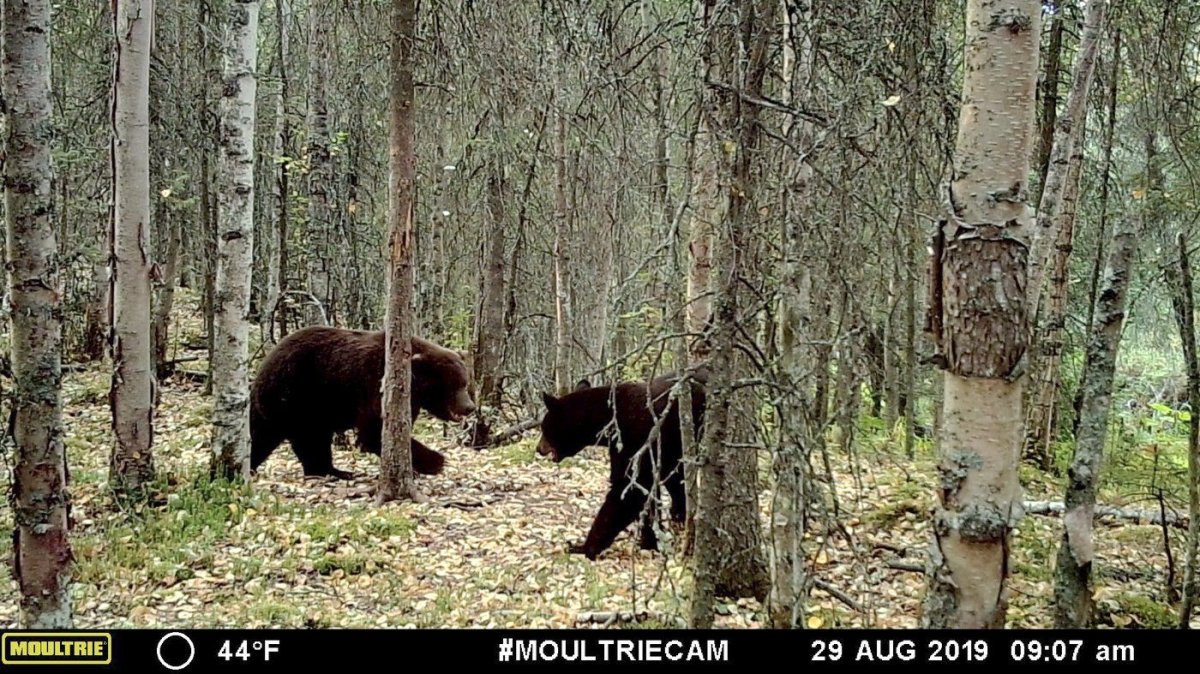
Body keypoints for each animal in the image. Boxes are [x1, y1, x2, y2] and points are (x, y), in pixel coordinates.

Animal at [250, 323, 475, 477]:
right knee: (300, 437)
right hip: (297, 395)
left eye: (464, 383)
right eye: (453, 386)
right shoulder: (375, 385)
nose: (469, 407)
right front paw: (436, 461)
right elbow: (374, 431)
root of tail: (265, 361)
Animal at [532, 364, 700, 558]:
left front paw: (583, 547)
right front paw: (651, 541)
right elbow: (657, 490)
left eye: (543, 427)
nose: (538, 448)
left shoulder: (636, 440)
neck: (608, 420)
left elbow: (628, 490)